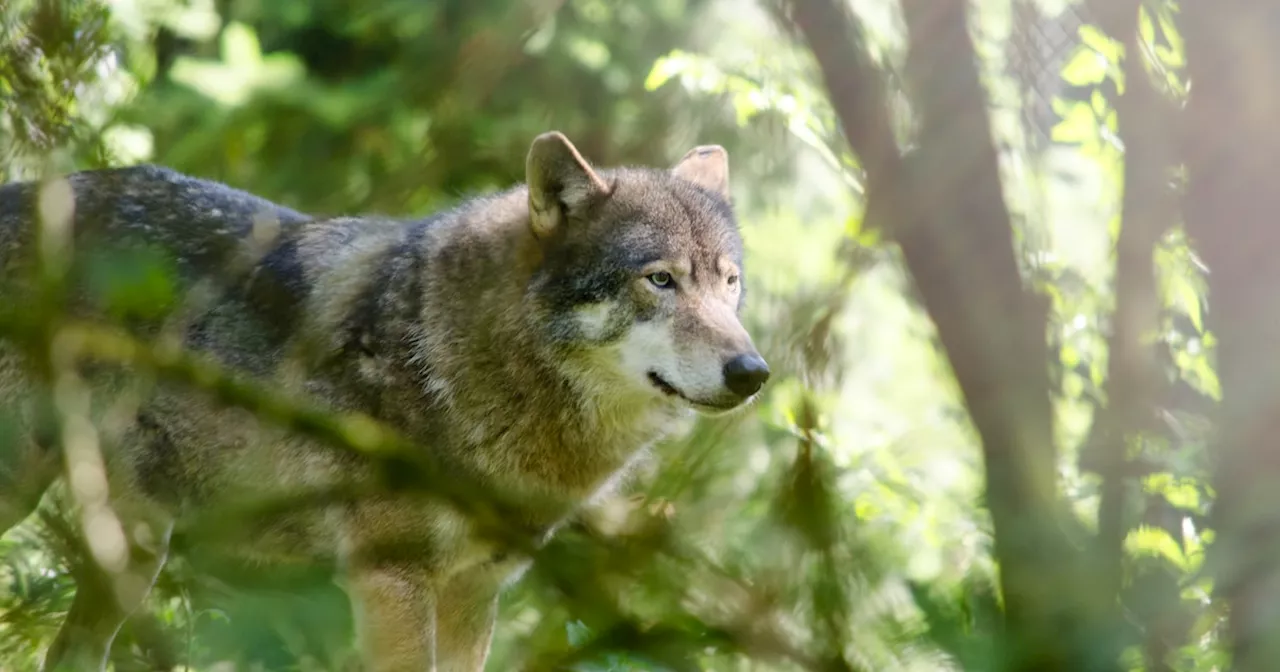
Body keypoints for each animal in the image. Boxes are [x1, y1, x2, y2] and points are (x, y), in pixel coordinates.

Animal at [0, 132, 762, 670]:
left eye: (728, 283)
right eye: (659, 280)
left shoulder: (474, 592)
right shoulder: (391, 580)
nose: (753, 371)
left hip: (134, 547)